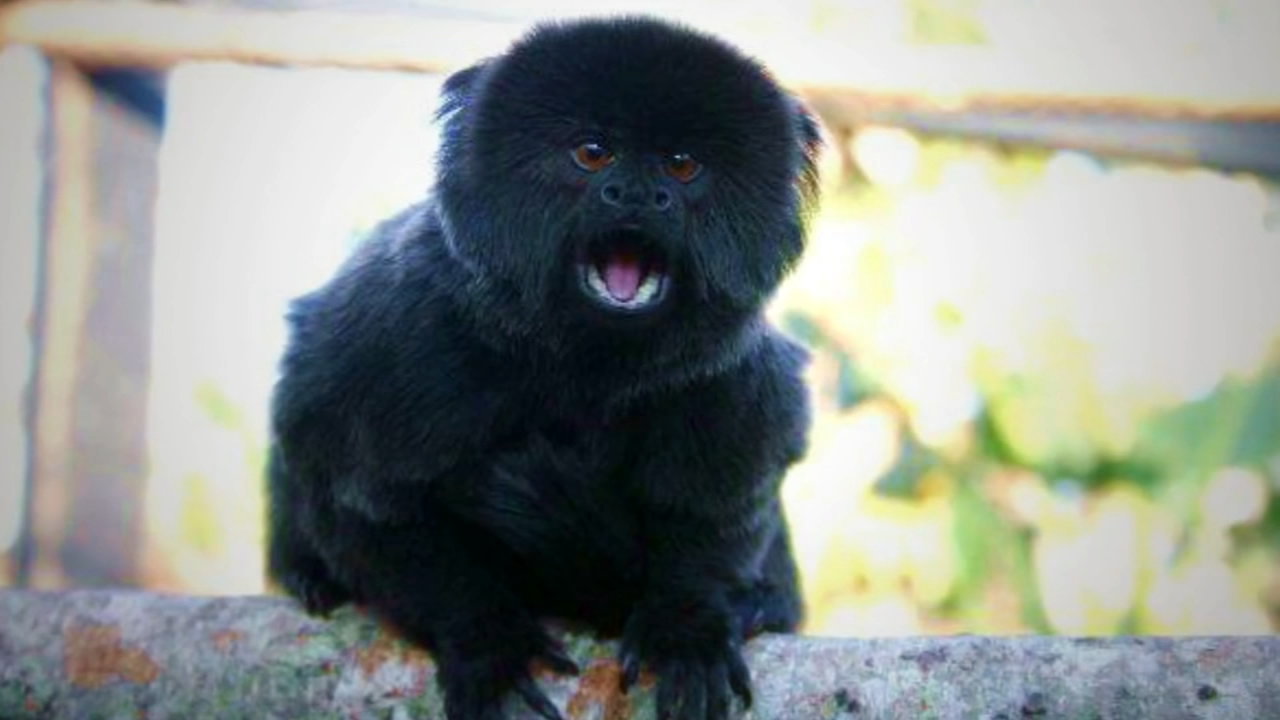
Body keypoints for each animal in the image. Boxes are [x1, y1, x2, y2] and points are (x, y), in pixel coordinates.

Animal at [265, 15, 822, 720]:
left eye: (682, 165)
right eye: (593, 154)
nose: (637, 195)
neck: (580, 364)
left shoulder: (731, 379)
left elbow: (721, 513)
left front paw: (689, 627)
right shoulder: (398, 337)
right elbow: (363, 504)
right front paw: (487, 642)